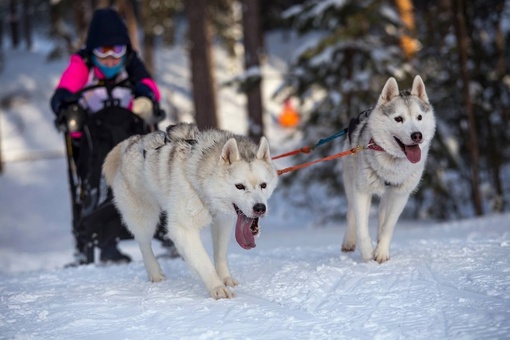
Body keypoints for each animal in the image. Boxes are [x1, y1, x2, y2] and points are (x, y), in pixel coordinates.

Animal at [103, 123, 278, 298]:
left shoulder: (222, 222)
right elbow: (204, 262)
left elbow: (220, 254)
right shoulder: (183, 229)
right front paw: (217, 287)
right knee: (144, 245)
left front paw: (225, 278)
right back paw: (155, 273)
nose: (260, 208)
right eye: (240, 186)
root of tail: (131, 142)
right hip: (144, 217)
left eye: (263, 185)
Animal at [342, 76, 434, 262]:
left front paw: (381, 252)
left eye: (419, 117)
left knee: (382, 217)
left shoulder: (400, 194)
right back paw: (349, 241)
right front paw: (367, 251)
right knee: (351, 214)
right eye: (398, 119)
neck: (392, 164)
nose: (417, 135)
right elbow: (362, 225)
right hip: (351, 182)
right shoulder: (362, 191)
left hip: (388, 195)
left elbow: (388, 226)